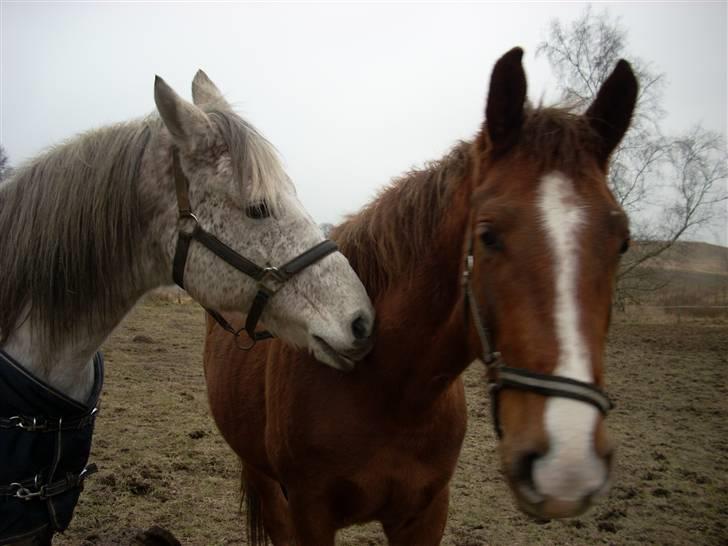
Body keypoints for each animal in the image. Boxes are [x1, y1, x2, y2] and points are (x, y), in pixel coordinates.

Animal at [200, 47, 636, 544]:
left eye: (623, 241)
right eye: (487, 235)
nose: (567, 465)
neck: (386, 390)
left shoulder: (425, 514)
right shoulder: (309, 514)